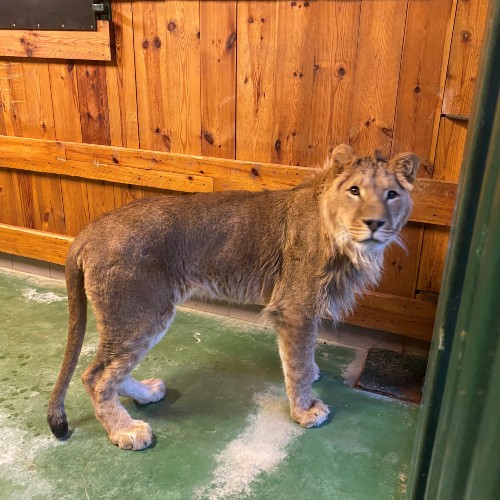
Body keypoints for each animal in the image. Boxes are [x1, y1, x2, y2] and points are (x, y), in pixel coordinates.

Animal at [47, 144, 418, 450]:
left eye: (392, 194)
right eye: (355, 190)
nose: (375, 223)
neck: (348, 243)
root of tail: (87, 232)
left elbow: (303, 354)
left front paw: (312, 374)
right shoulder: (295, 308)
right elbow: (296, 363)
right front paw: (304, 410)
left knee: (113, 371)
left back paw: (147, 394)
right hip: (141, 314)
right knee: (96, 377)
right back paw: (126, 431)